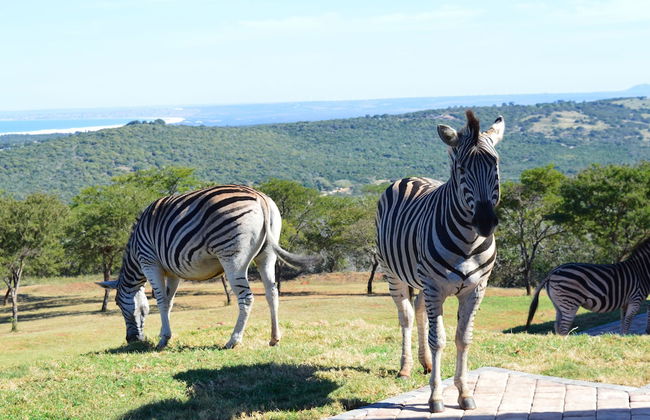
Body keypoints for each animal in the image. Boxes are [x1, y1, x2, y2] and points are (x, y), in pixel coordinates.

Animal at [98, 184, 319, 350]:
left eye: (118, 304)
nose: (131, 340)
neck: (135, 254)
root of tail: (260, 197)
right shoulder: (172, 272)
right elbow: (169, 302)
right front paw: (165, 335)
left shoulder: (150, 262)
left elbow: (159, 301)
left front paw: (162, 340)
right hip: (266, 256)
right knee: (272, 293)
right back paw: (274, 338)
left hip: (232, 256)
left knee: (246, 297)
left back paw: (233, 341)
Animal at [375, 110, 505, 413]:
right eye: (461, 169)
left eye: (495, 165)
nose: (485, 222)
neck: (469, 241)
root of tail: (410, 177)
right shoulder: (435, 286)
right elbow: (439, 340)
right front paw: (435, 398)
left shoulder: (476, 289)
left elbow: (463, 338)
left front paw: (464, 392)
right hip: (393, 274)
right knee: (407, 316)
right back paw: (406, 368)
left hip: (422, 280)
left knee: (420, 310)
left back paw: (425, 364)